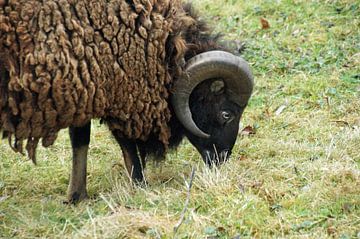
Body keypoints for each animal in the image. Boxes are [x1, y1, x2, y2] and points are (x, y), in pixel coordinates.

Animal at [0, 0, 253, 203]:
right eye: (226, 114)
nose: (221, 160)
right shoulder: (110, 88)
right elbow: (120, 143)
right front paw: (137, 184)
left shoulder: (84, 85)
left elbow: (81, 139)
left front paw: (76, 195)